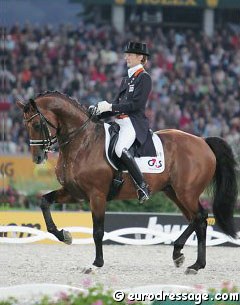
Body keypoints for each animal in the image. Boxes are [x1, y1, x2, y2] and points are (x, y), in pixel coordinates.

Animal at [16, 91, 238, 274]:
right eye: (25, 126)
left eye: (37, 125)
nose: (37, 158)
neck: (82, 143)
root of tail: (203, 141)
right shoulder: (75, 193)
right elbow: (44, 202)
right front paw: (65, 235)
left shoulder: (97, 195)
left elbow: (98, 231)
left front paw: (95, 264)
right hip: (174, 192)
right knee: (196, 219)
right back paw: (184, 258)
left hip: (187, 192)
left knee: (200, 217)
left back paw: (192, 262)